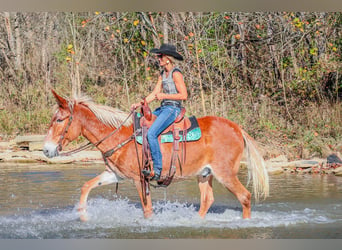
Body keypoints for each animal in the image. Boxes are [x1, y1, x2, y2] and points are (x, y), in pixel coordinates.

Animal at [42, 89, 268, 221]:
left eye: (60, 120)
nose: (46, 149)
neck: (119, 135)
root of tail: (237, 129)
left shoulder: (138, 179)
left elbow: (147, 209)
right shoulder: (115, 174)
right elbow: (86, 187)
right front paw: (82, 216)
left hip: (225, 174)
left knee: (245, 197)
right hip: (204, 174)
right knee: (207, 200)